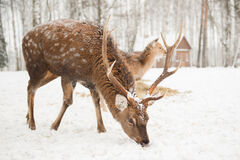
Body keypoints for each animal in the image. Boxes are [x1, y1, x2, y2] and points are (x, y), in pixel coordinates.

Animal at [22, 17, 182, 146]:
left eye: (148, 118)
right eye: (131, 120)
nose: (145, 141)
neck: (93, 65)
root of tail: (24, 37)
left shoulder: (91, 82)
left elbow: (97, 101)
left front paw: (102, 128)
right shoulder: (68, 74)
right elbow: (68, 101)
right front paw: (54, 126)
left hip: (50, 72)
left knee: (30, 86)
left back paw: (27, 118)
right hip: (36, 65)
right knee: (31, 87)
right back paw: (32, 123)